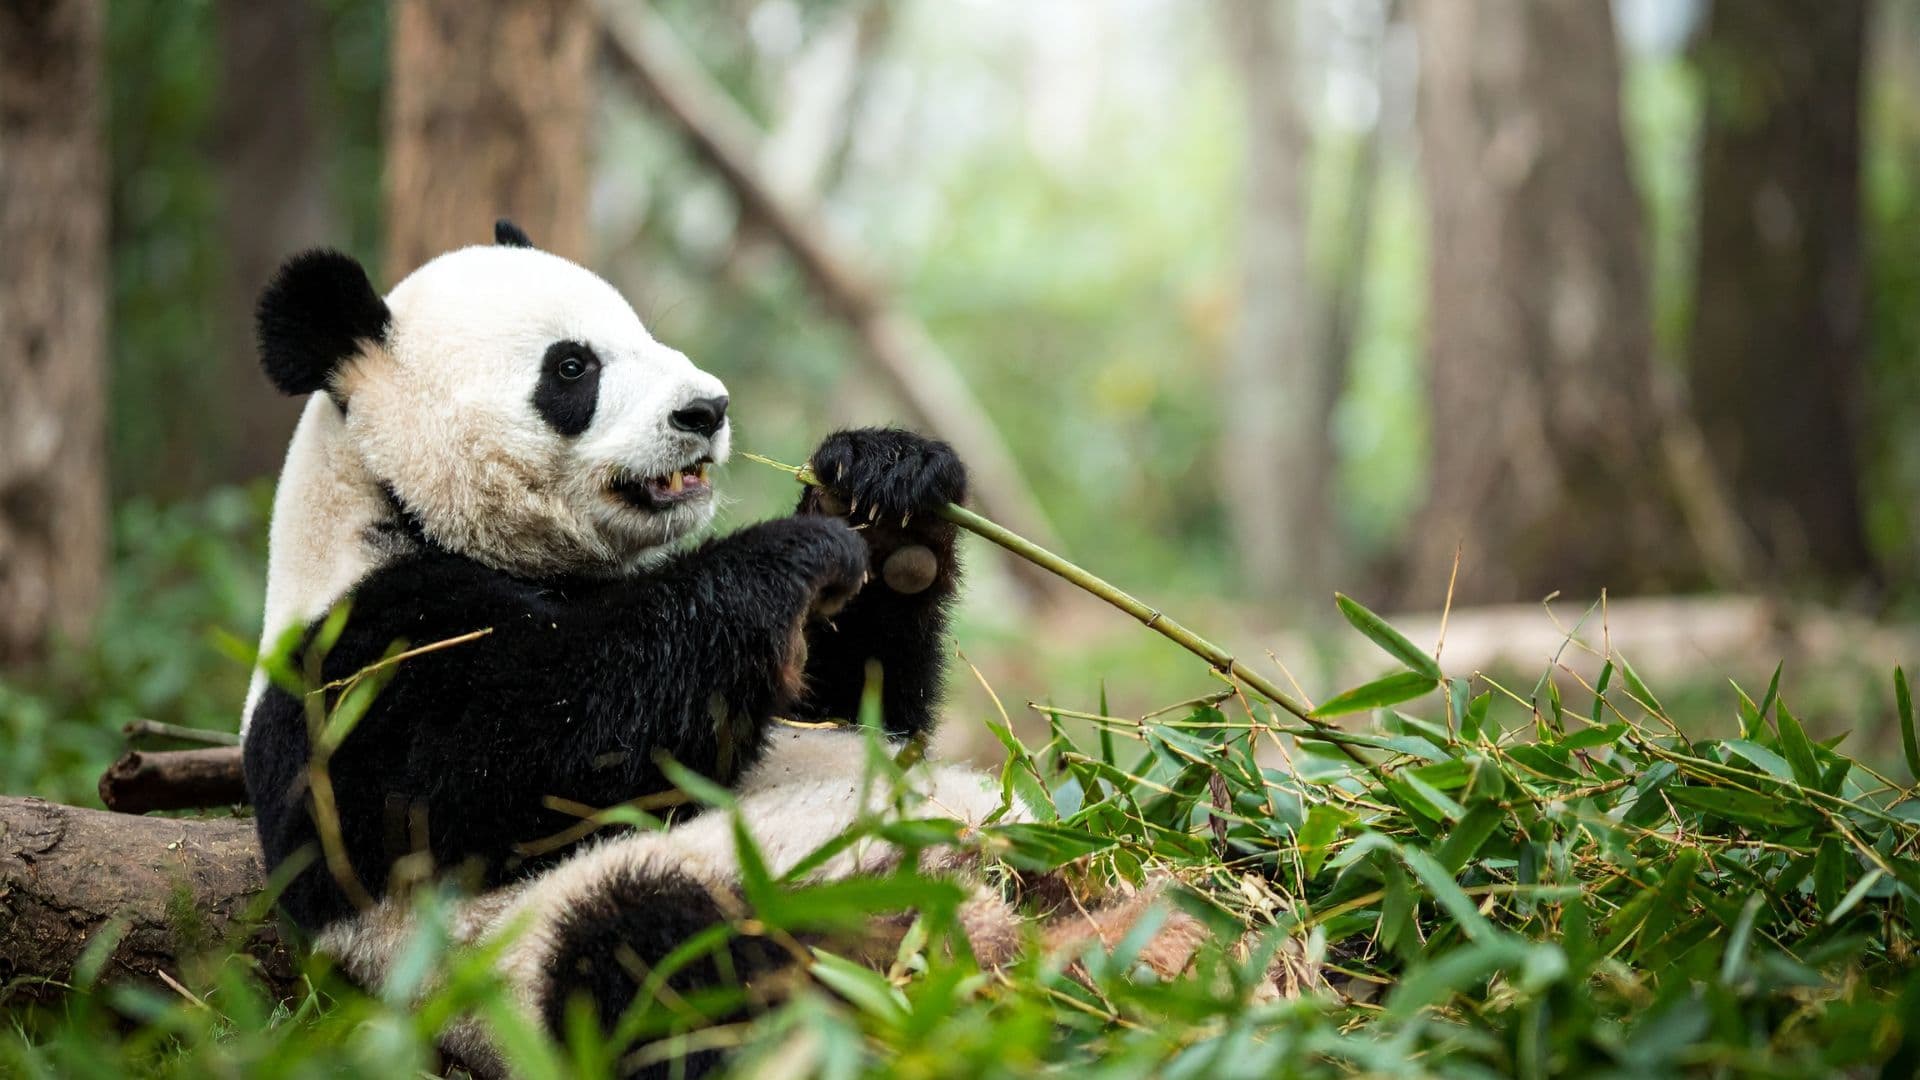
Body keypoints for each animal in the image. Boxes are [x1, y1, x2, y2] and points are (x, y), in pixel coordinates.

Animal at [238, 221, 1311, 1077]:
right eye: (572, 368)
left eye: (641, 331)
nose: (705, 411)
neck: (400, 508)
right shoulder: (359, 656)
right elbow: (516, 757)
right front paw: (791, 552)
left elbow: (843, 706)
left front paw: (883, 493)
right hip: (563, 944)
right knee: (662, 950)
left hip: (1097, 825)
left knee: (1232, 831)